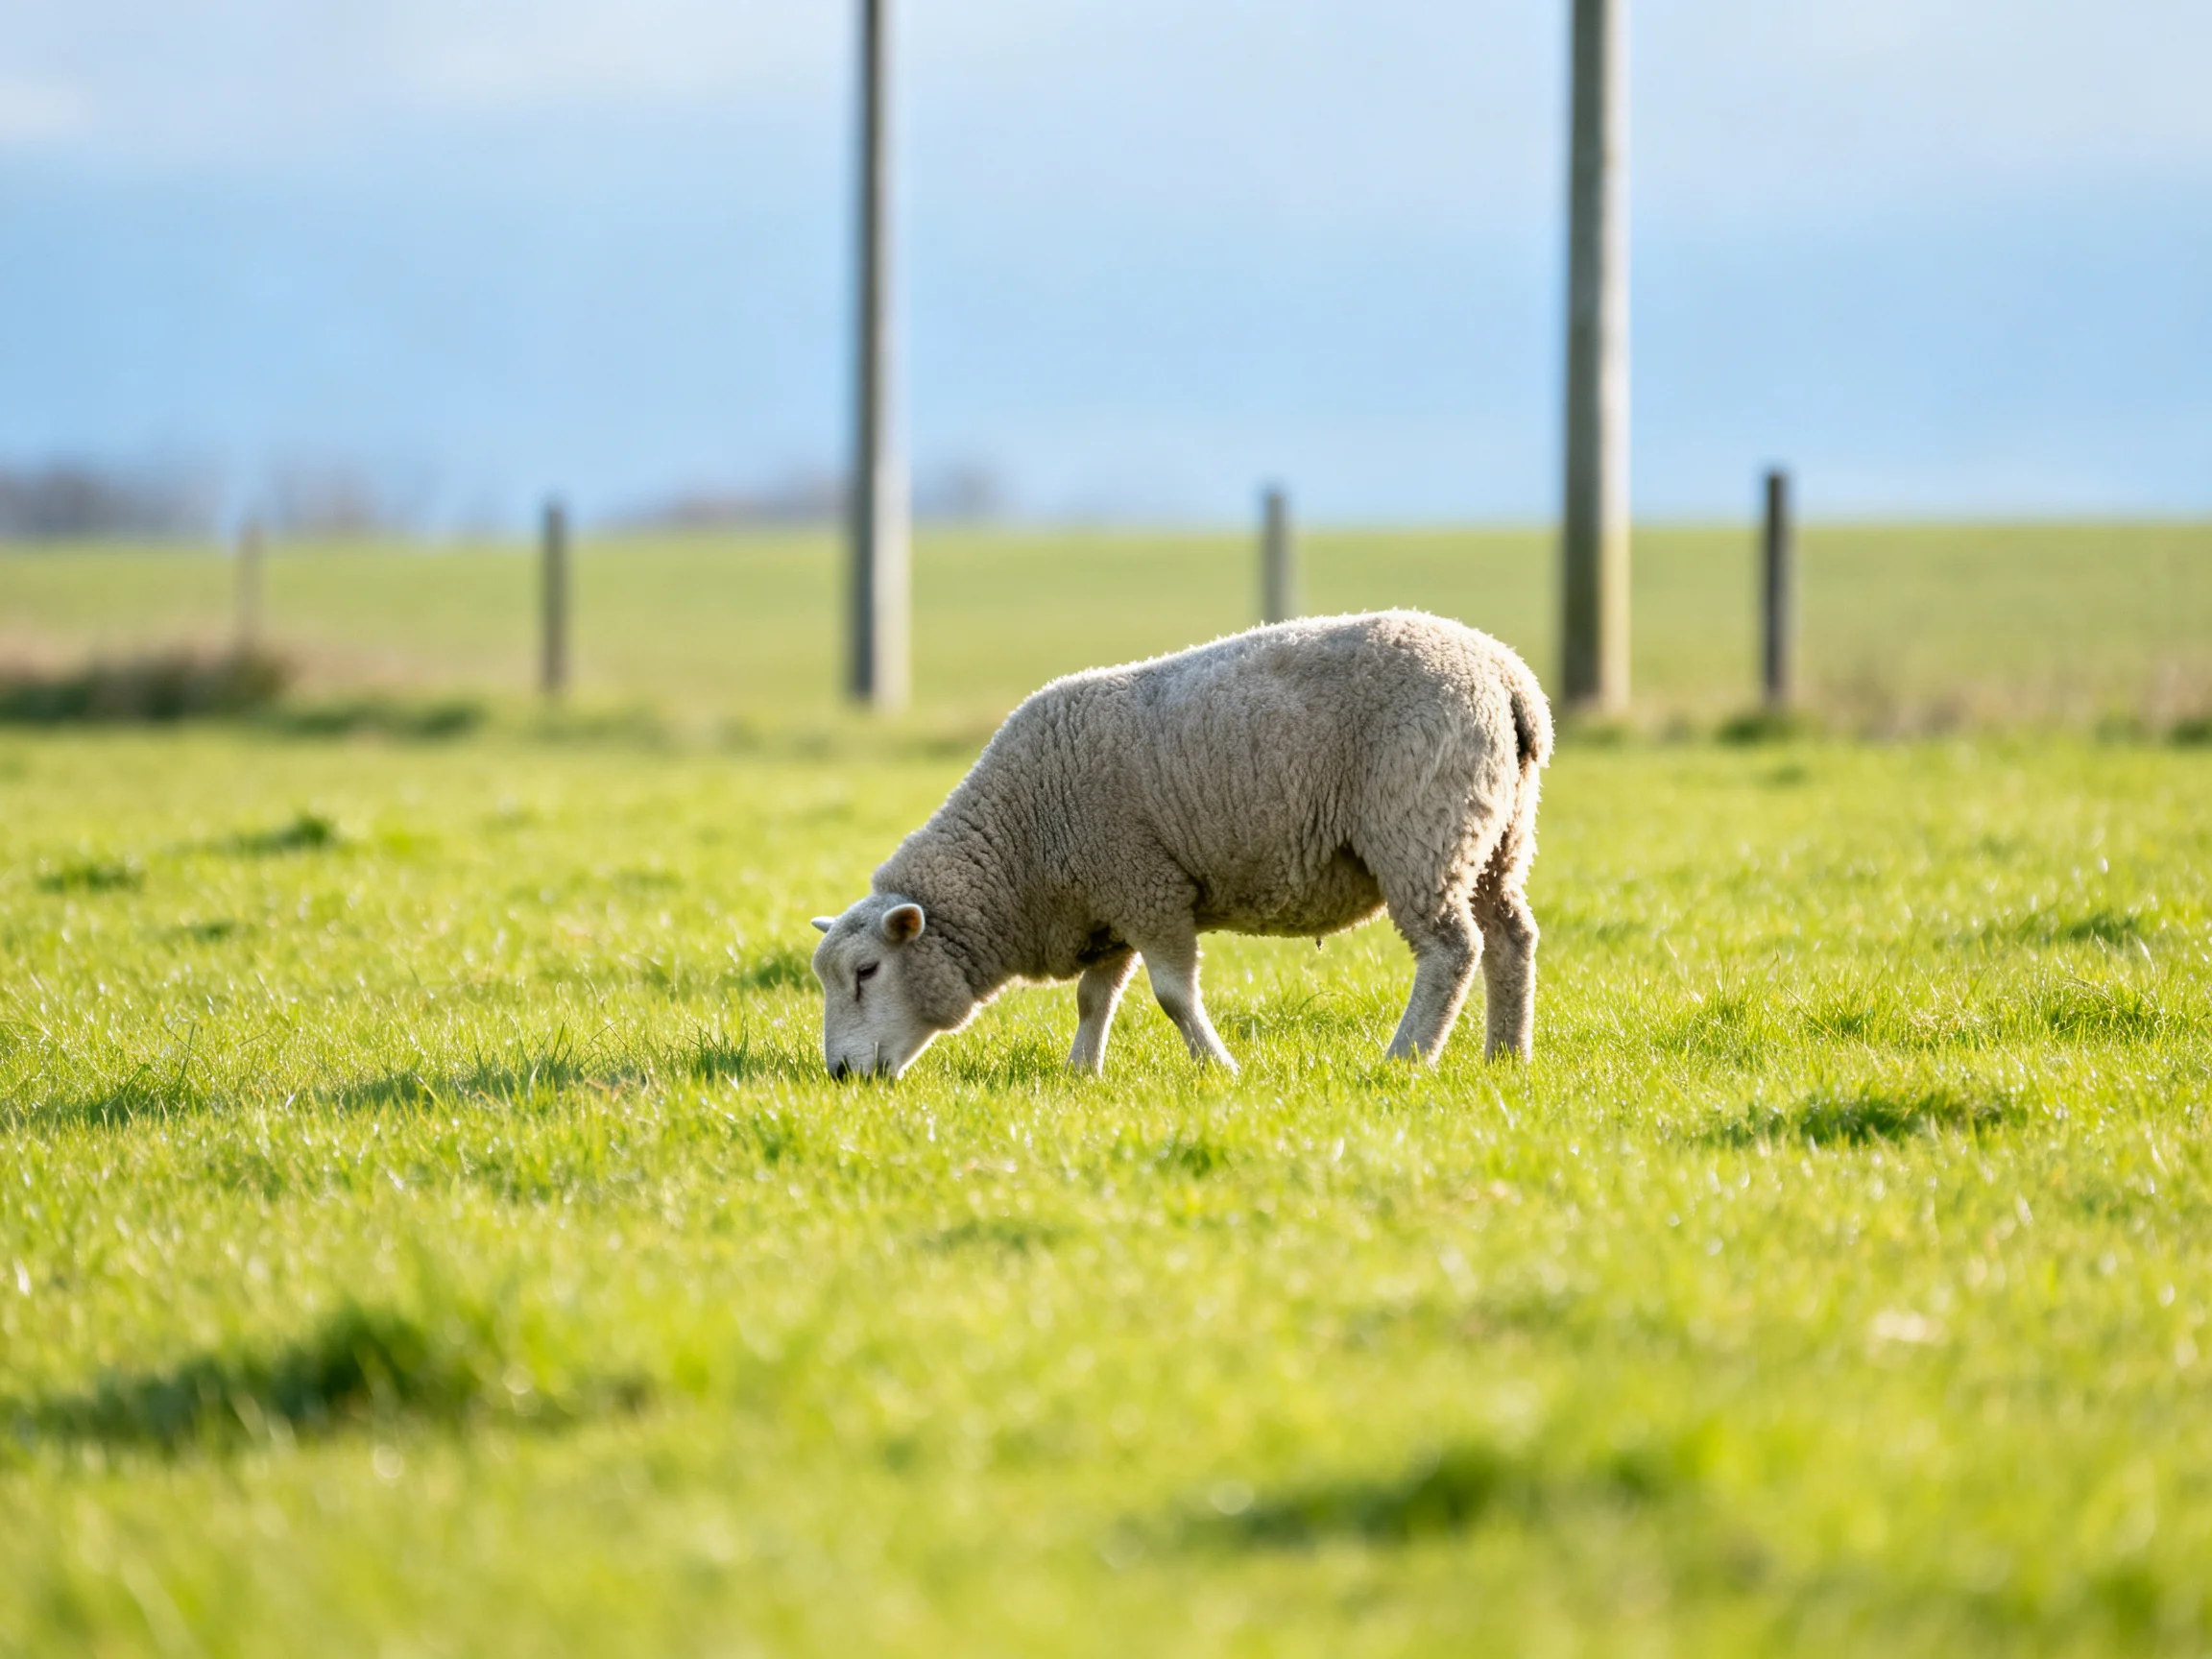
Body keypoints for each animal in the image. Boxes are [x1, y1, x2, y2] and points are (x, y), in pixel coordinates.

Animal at [809, 609, 1552, 1080]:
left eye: (867, 971)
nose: (841, 1074)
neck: (1020, 849)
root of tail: (1509, 679)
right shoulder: (1110, 904)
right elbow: (1094, 998)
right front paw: (1081, 1074)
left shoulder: (1147, 888)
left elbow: (1170, 995)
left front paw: (1218, 1068)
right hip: (1498, 834)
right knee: (1511, 939)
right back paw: (1506, 1057)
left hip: (1422, 828)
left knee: (1451, 950)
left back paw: (1406, 1059)